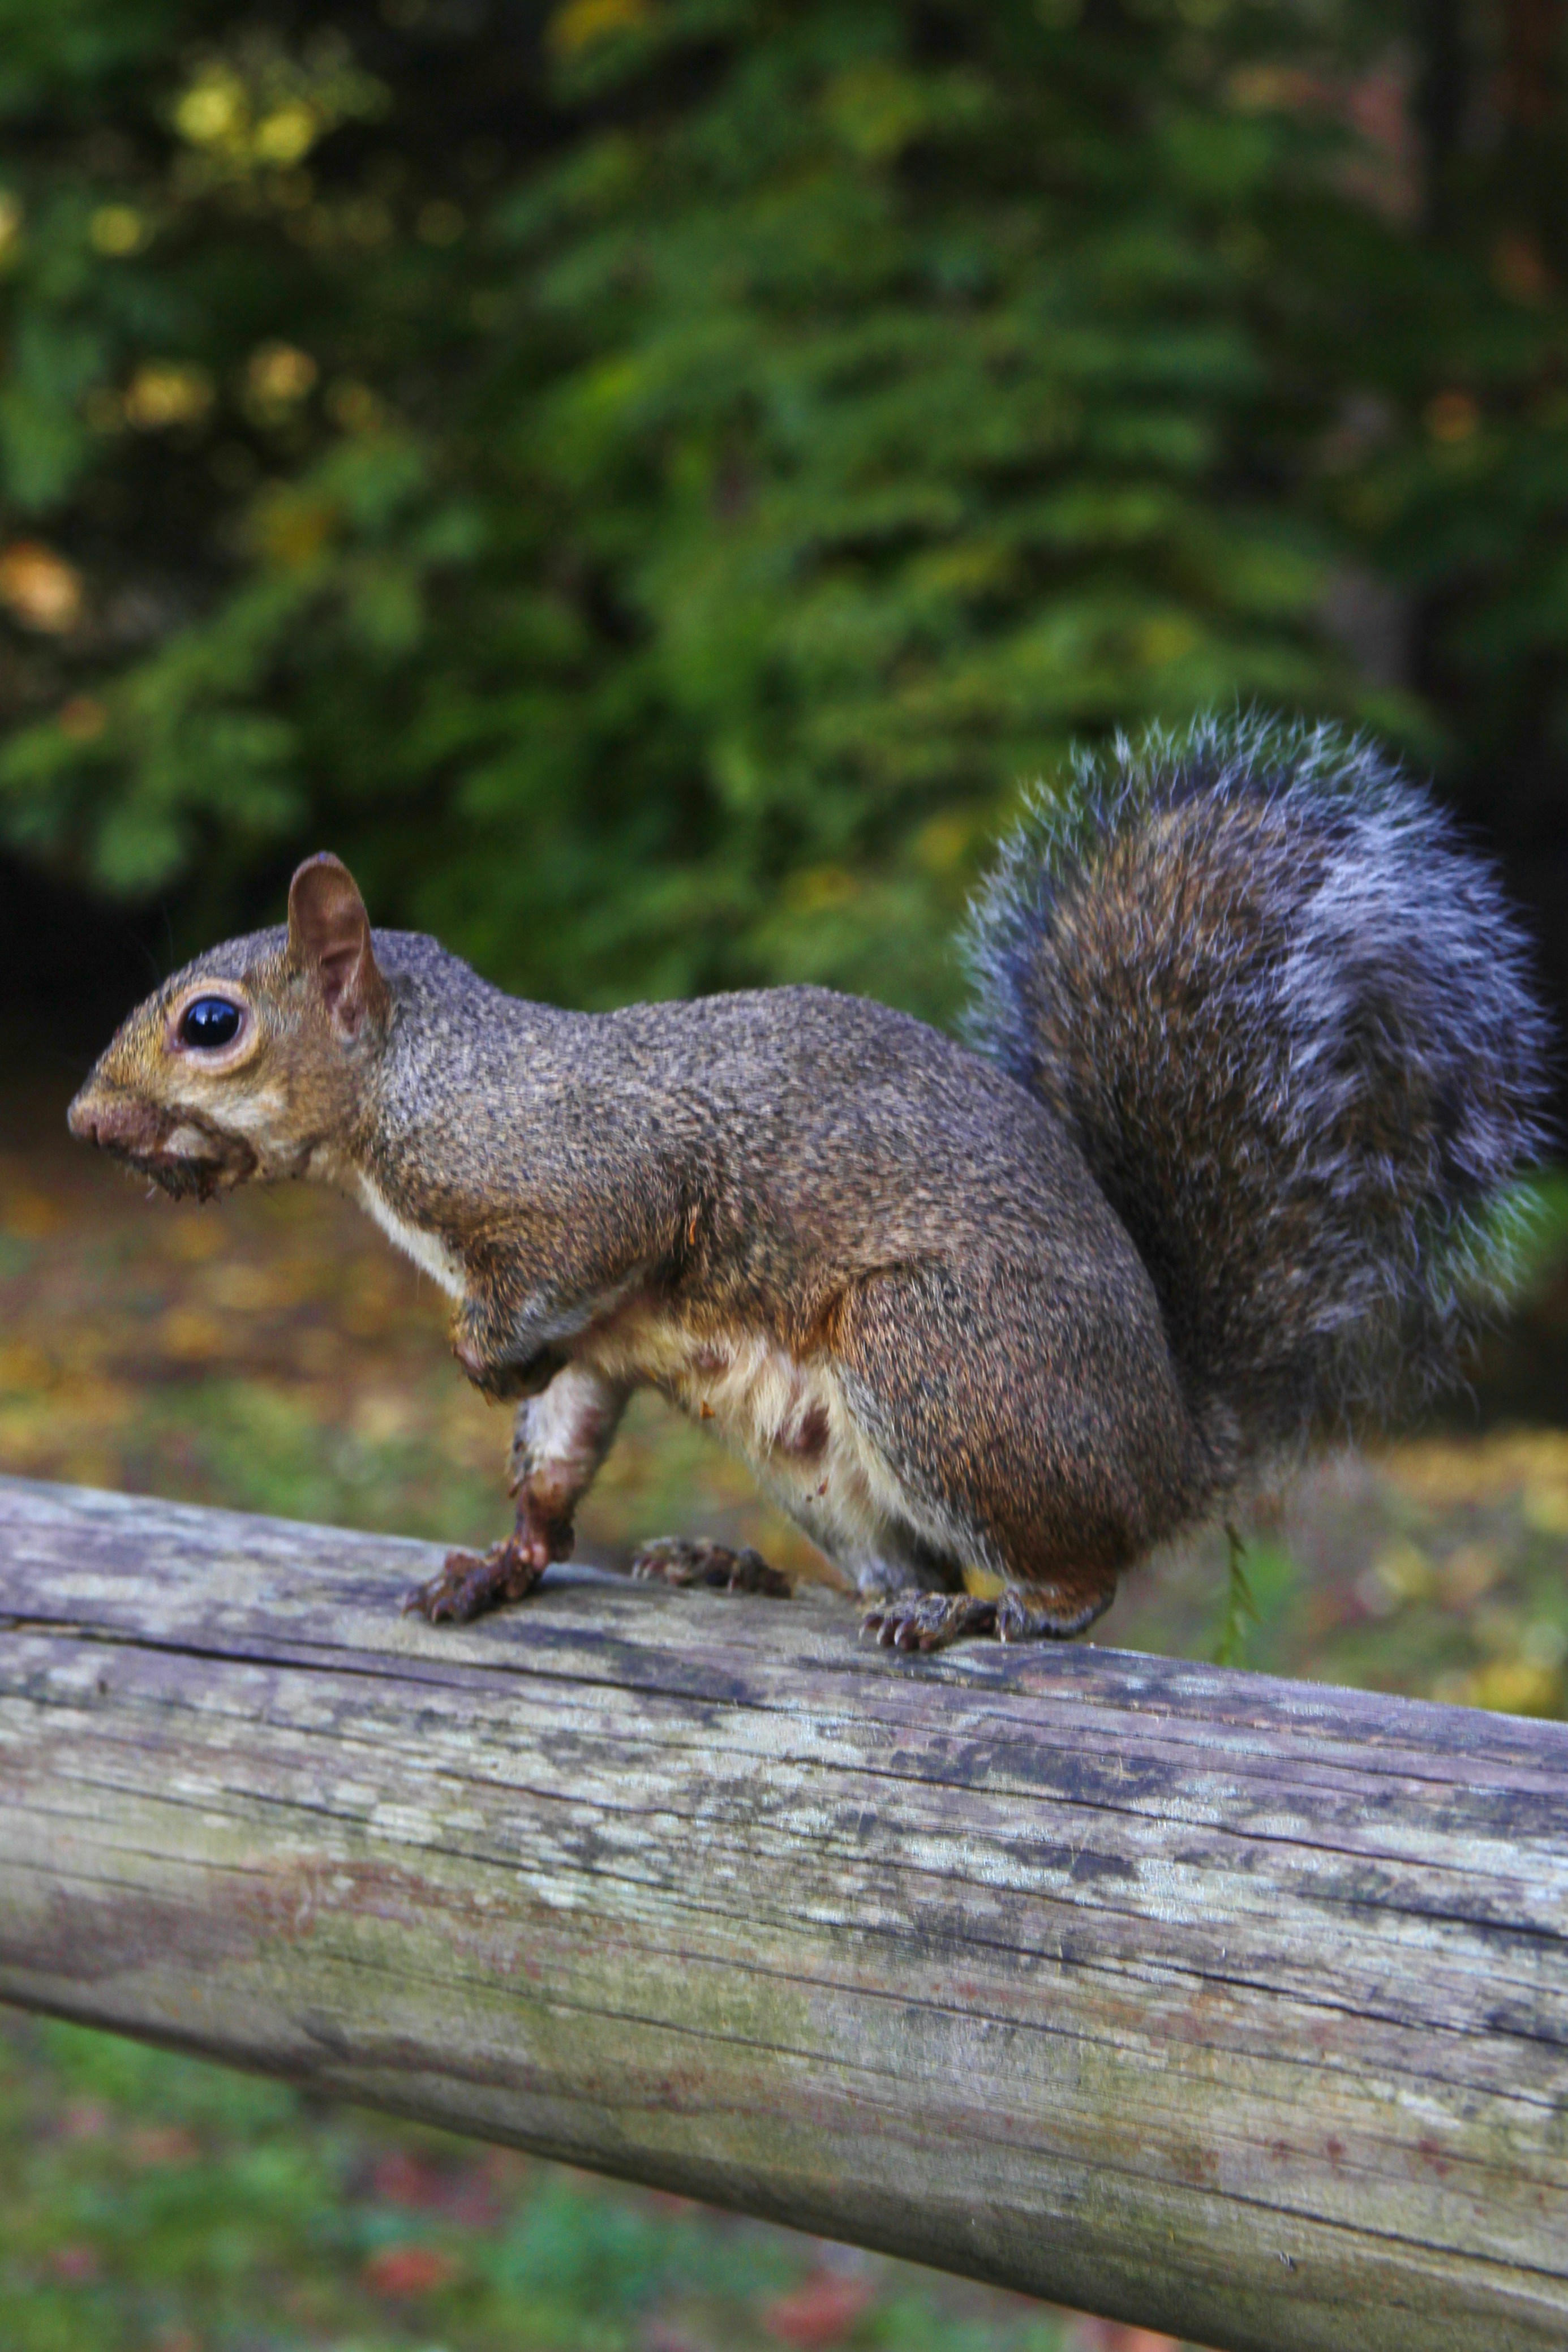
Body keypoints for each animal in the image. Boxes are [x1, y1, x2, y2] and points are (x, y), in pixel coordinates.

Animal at [67, 715, 1549, 1651]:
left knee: (1072, 1569)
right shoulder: (596, 1346)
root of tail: (1174, 1441)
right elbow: (557, 1451)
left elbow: (572, 1261)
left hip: (941, 1362)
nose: (85, 1118)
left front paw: (477, 1356)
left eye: (211, 1023)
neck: (417, 1087)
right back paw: (742, 1570)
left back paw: (991, 1609)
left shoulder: (584, 1183)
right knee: (904, 1552)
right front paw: (501, 1560)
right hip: (821, 1461)